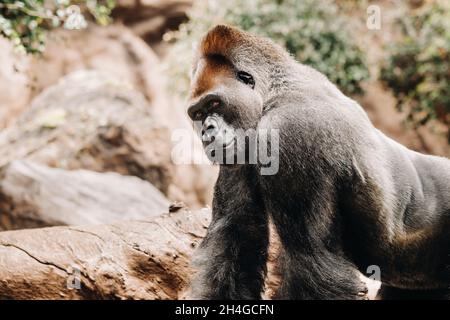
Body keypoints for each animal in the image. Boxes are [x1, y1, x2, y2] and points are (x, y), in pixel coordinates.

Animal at [185, 25, 450, 300]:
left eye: (215, 103)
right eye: (198, 114)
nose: (206, 131)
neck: (273, 92)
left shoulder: (291, 132)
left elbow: (313, 262)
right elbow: (236, 242)